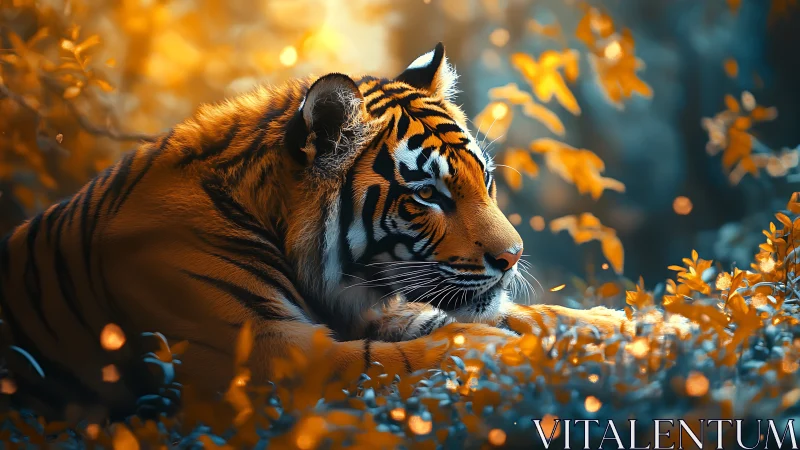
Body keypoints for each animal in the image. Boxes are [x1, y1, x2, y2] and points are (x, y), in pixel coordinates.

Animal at [0, 43, 648, 421]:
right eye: (428, 195)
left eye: (483, 180)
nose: (513, 257)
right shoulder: (261, 353)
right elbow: (412, 356)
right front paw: (498, 354)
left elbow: (537, 316)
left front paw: (637, 327)